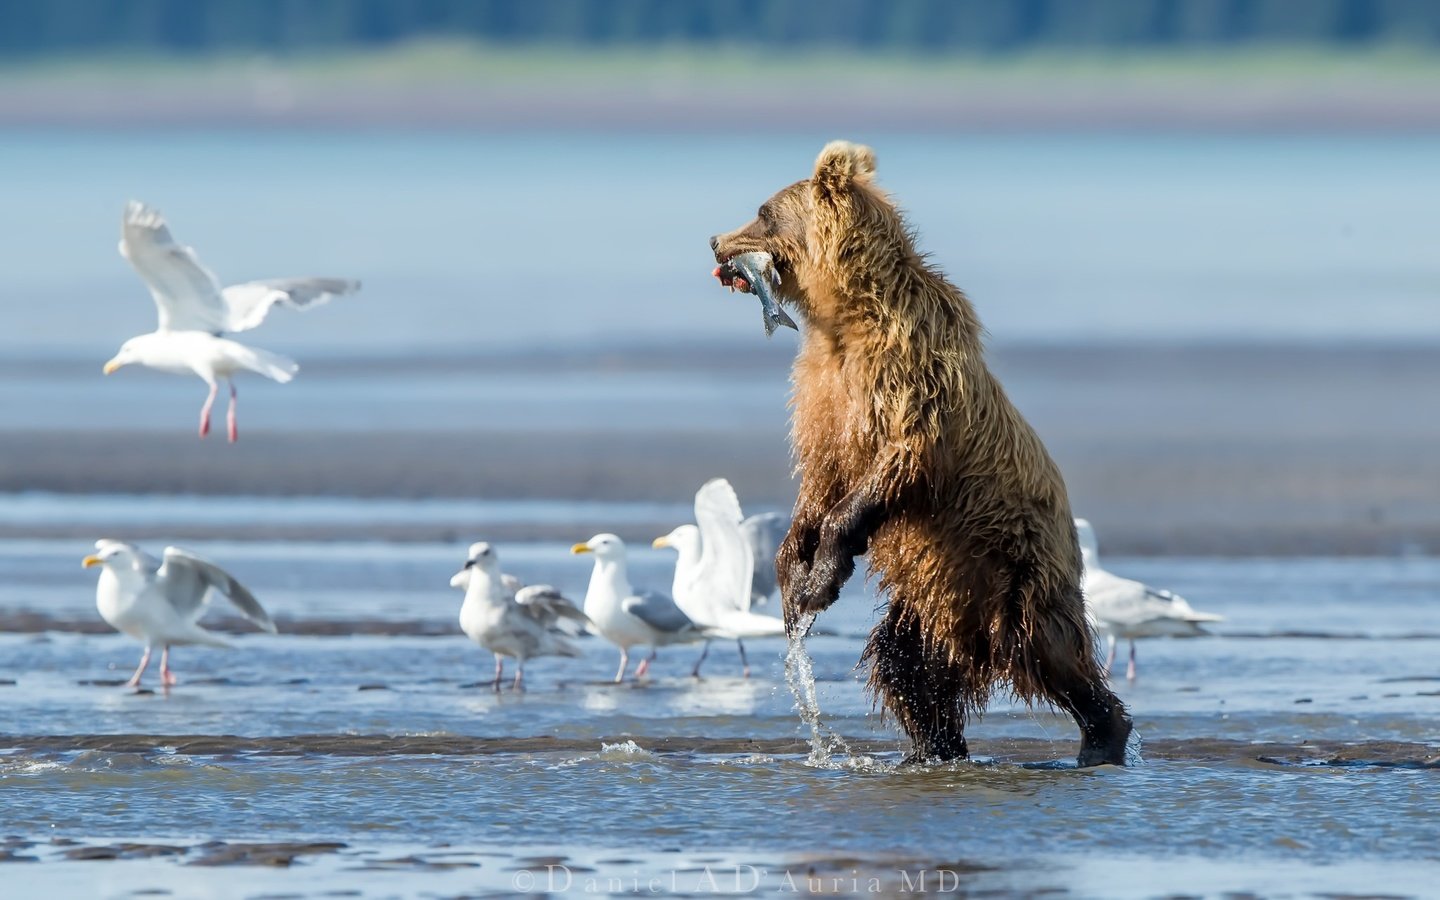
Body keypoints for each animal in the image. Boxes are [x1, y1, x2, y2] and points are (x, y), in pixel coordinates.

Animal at [714, 140, 1128, 766]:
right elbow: (820, 478)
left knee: (1049, 652)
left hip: (1015, 567)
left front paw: (820, 579)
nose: (716, 241)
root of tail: (973, 639)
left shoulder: (911, 376)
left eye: (763, 212)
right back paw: (934, 748)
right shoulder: (823, 395)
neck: (846, 319)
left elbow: (896, 464)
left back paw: (1102, 736)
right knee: (904, 664)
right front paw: (793, 572)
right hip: (932, 596)